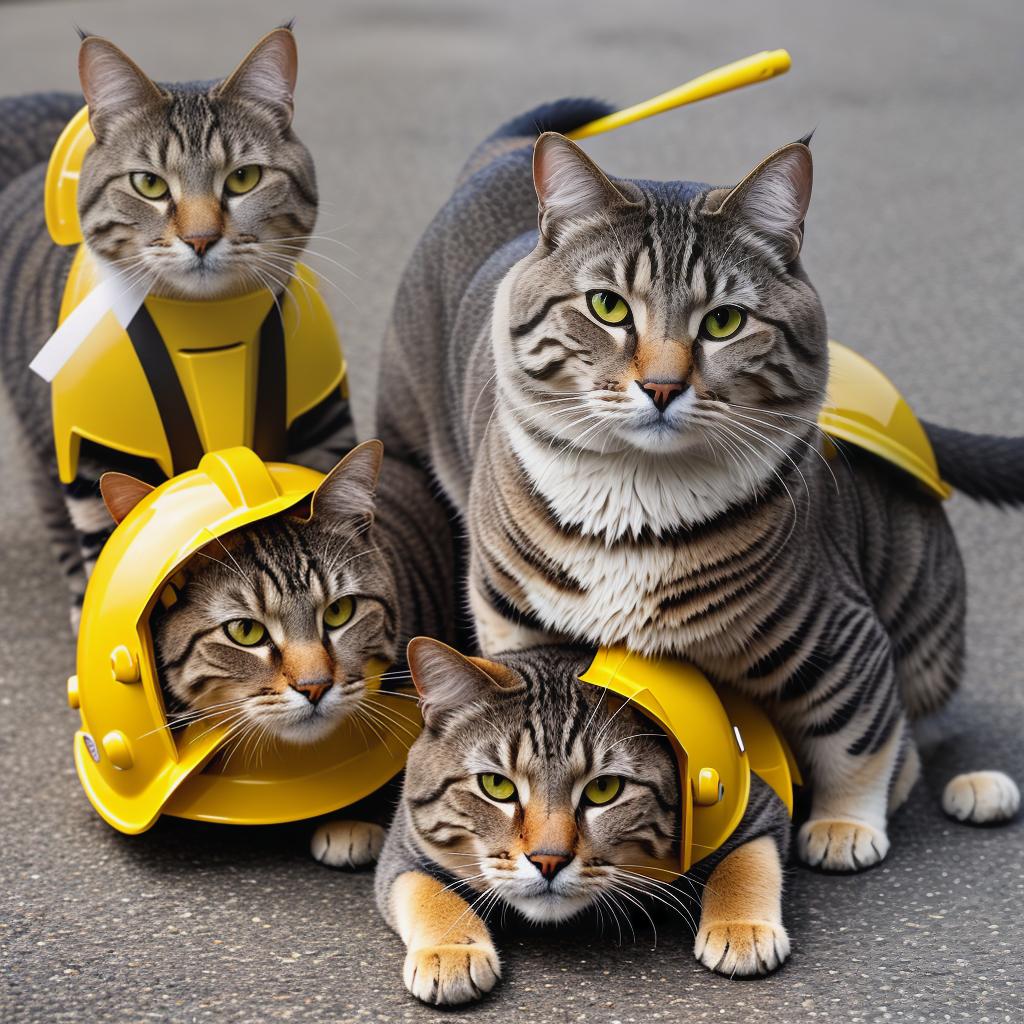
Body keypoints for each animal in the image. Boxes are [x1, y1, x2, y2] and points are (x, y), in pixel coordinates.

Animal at [0, 28, 354, 626]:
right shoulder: (102, 465)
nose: (201, 238)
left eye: (244, 178)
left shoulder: (321, 435)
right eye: (148, 184)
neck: (209, 334)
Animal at [376, 634, 790, 1003]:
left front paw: (741, 927)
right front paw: (449, 951)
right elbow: (428, 891)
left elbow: (744, 865)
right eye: (496, 785)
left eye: (604, 789)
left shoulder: (757, 807)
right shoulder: (403, 847)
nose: (548, 861)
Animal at [378, 101, 1024, 872]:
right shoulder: (512, 618)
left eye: (724, 321)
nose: (661, 386)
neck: (633, 492)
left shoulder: (837, 631)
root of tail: (501, 154)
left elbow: (858, 730)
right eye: (607, 306)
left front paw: (846, 822)